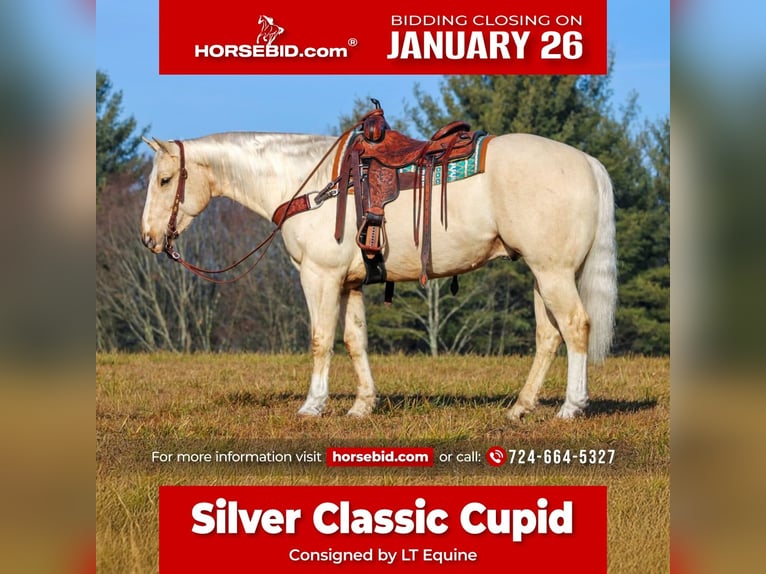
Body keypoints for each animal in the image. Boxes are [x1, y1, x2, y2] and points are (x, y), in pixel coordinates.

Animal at [140, 128, 617, 420]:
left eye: (165, 180)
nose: (148, 238)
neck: (308, 186)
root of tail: (587, 162)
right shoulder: (348, 284)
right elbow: (355, 341)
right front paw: (362, 405)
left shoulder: (319, 278)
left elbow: (320, 339)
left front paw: (313, 405)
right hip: (542, 273)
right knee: (549, 336)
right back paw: (520, 407)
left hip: (553, 273)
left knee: (576, 327)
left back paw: (572, 406)